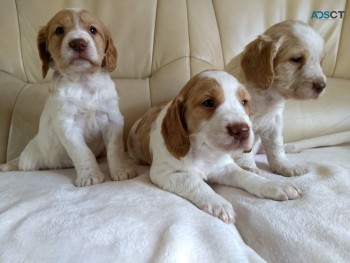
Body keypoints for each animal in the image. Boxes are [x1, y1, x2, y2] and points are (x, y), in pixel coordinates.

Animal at [0, 9, 136, 187]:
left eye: (93, 30)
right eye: (59, 30)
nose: (78, 43)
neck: (83, 81)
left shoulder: (113, 119)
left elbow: (115, 149)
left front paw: (121, 170)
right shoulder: (67, 125)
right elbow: (82, 151)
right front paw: (90, 176)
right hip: (30, 160)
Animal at [129, 70, 300, 225]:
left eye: (244, 102)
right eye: (208, 103)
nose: (242, 130)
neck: (205, 150)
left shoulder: (226, 166)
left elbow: (245, 175)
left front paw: (274, 185)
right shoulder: (164, 172)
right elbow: (193, 180)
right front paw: (218, 203)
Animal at [226, 20, 326, 177]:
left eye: (320, 62)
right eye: (296, 59)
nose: (322, 86)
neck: (268, 94)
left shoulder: (274, 122)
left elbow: (276, 147)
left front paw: (285, 166)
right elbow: (243, 151)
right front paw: (248, 168)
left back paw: (291, 147)